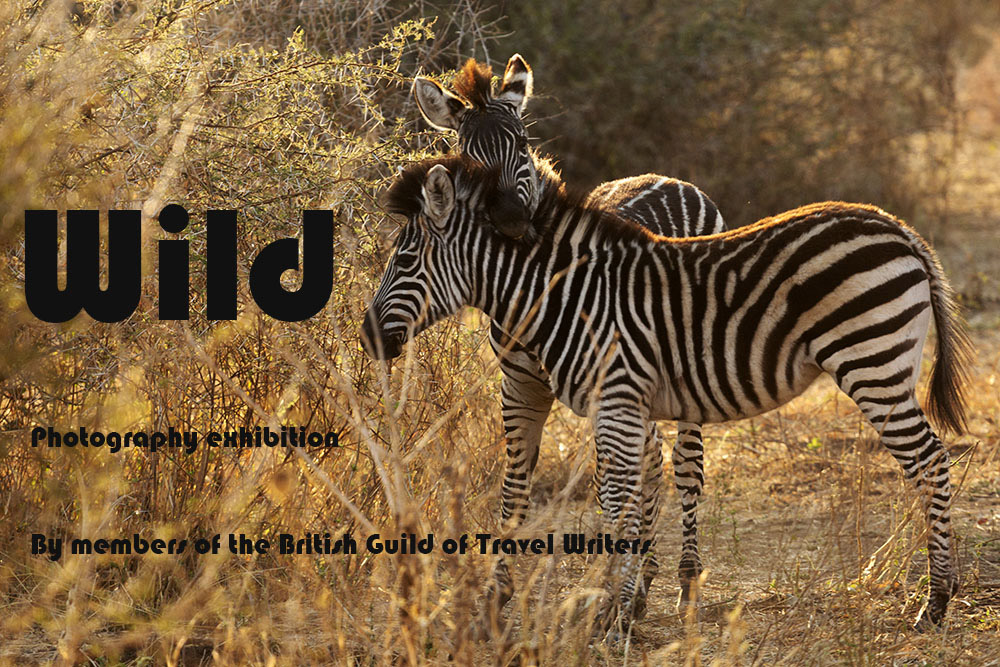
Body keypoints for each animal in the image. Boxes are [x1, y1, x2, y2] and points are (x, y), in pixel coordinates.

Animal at [364, 154, 972, 636]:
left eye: (405, 261)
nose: (367, 336)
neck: (570, 298)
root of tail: (899, 229)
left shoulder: (615, 400)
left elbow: (618, 504)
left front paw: (612, 617)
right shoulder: (623, 405)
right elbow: (623, 499)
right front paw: (619, 606)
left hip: (872, 362)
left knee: (930, 461)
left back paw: (936, 603)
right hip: (884, 362)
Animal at [410, 56, 724, 616]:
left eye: (520, 146)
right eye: (466, 157)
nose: (512, 221)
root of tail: (669, 178)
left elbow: (614, 482)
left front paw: (620, 594)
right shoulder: (520, 384)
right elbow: (516, 490)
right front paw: (498, 592)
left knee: (686, 464)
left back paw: (687, 578)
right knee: (651, 459)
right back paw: (646, 574)